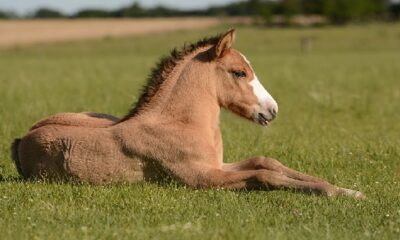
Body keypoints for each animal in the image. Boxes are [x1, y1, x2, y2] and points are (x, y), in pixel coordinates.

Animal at [10, 30, 366, 199]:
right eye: (238, 72)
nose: (272, 110)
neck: (179, 124)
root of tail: (21, 137)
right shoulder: (202, 178)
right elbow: (264, 175)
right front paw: (337, 193)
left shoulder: (217, 165)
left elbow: (267, 162)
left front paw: (347, 190)